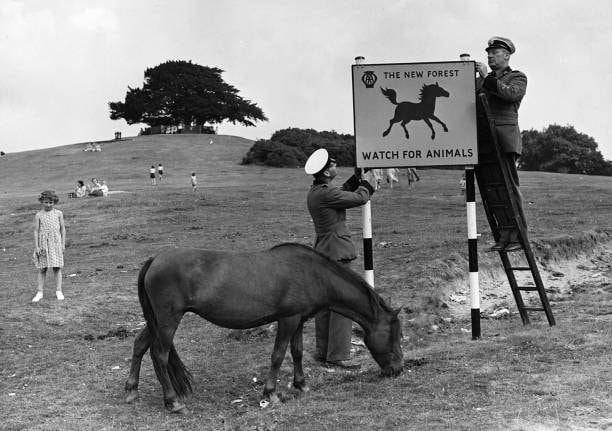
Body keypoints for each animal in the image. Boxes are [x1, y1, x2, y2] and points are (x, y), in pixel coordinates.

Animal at [124, 245, 404, 414]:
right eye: (395, 336)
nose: (398, 370)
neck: (312, 273)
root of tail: (155, 260)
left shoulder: (299, 320)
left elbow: (297, 352)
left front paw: (301, 385)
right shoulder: (288, 320)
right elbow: (278, 356)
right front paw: (271, 394)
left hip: (157, 321)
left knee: (140, 345)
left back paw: (131, 391)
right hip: (168, 321)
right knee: (159, 355)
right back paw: (173, 402)